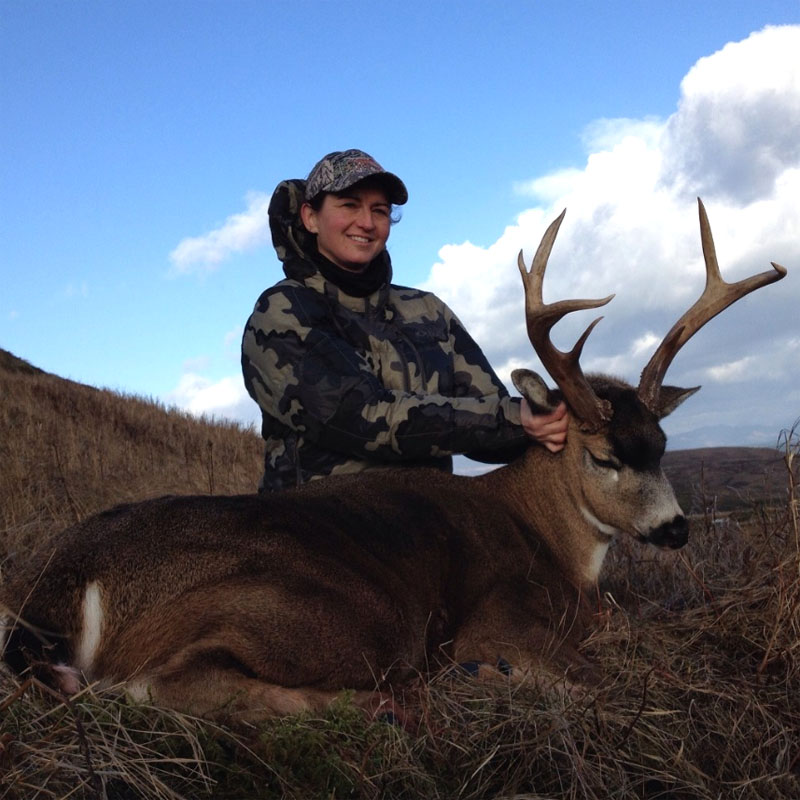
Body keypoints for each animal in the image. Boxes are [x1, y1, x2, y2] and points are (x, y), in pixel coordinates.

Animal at [0, 200, 786, 722]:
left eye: (662, 446)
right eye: (601, 456)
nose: (676, 528)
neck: (556, 546)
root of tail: (70, 578)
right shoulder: (503, 614)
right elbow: (595, 678)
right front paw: (495, 676)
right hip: (345, 612)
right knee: (166, 682)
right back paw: (404, 697)